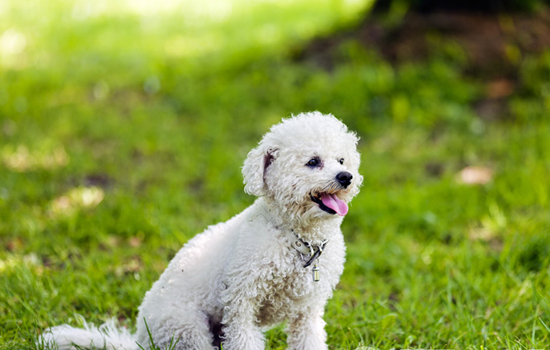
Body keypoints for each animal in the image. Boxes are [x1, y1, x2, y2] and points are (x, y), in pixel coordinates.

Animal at [42, 113, 362, 350]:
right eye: (312, 162)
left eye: (342, 160)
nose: (346, 177)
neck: (297, 238)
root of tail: (140, 340)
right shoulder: (241, 307)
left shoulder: (308, 313)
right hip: (187, 327)